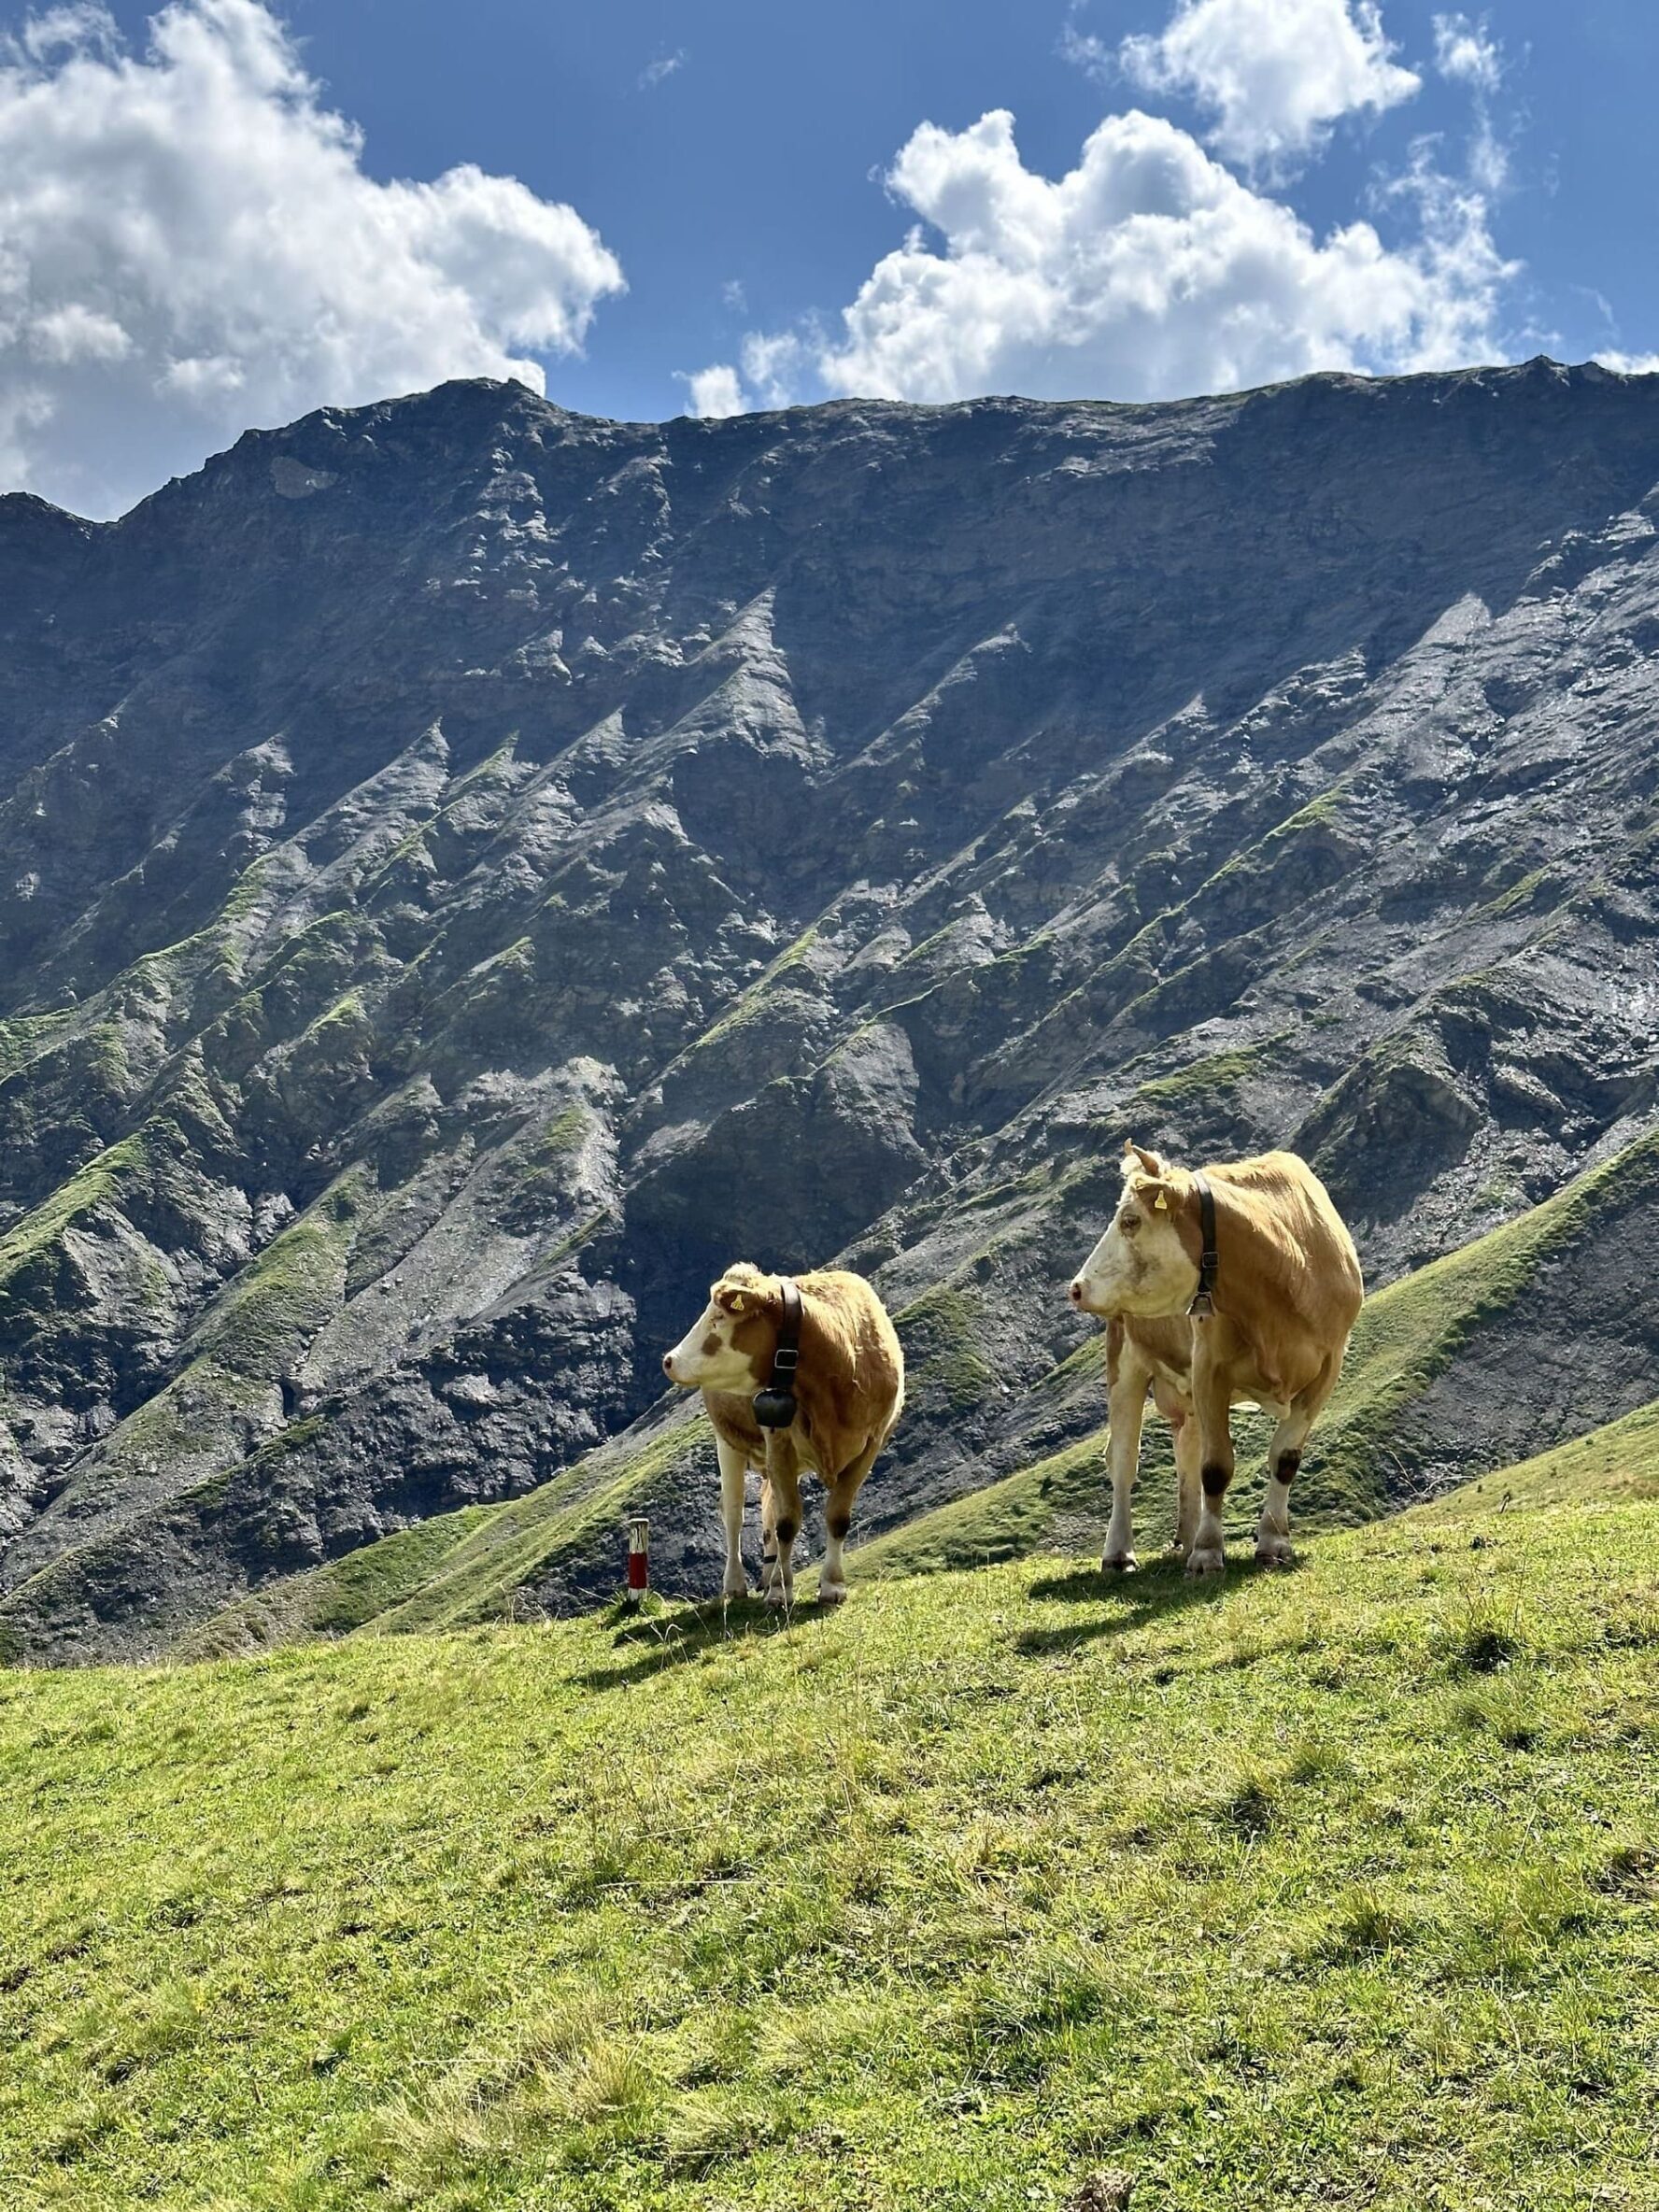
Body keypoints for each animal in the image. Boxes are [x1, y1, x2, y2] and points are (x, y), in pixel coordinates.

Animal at [662, 1262, 905, 1606]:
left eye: (719, 1317)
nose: (669, 1360)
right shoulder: (779, 1442)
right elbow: (787, 1522)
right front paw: (781, 1590)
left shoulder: (871, 1445)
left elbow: (837, 1517)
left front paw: (832, 1585)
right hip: (728, 1442)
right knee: (734, 1514)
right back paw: (737, 1584)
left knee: (768, 1513)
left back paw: (767, 1577)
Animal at [1067, 1142, 1363, 1578]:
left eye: (1130, 1220)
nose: (1076, 1287)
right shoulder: (1210, 1366)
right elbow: (1217, 1467)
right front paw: (1208, 1553)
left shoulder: (1327, 1370)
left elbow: (1284, 1459)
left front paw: (1274, 1543)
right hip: (1125, 1360)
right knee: (1123, 1460)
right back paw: (1120, 1553)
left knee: (1186, 1457)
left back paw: (1185, 1540)